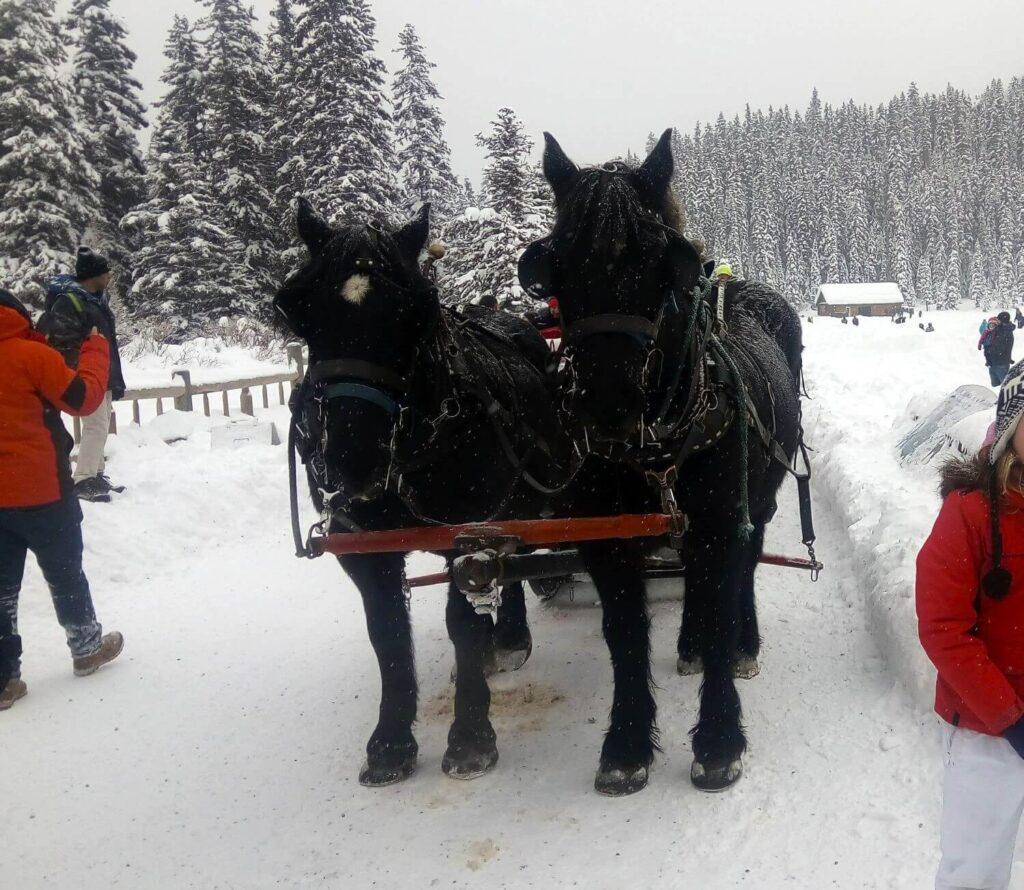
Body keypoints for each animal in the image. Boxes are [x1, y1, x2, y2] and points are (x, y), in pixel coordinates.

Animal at [276, 199, 569, 786]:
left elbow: (463, 624)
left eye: (413, 313)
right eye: (302, 311)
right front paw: (390, 743)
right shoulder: (363, 546)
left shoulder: (468, 535)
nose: (352, 459)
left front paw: (471, 737)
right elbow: (387, 634)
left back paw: (508, 639)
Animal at [520, 128, 806, 786]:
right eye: (555, 266)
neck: (657, 446)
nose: (608, 404)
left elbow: (723, 594)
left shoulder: (724, 522)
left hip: (758, 502)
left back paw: (740, 645)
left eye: (659, 265)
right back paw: (690, 644)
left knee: (741, 571)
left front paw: (720, 739)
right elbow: (625, 633)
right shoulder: (606, 539)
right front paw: (626, 744)